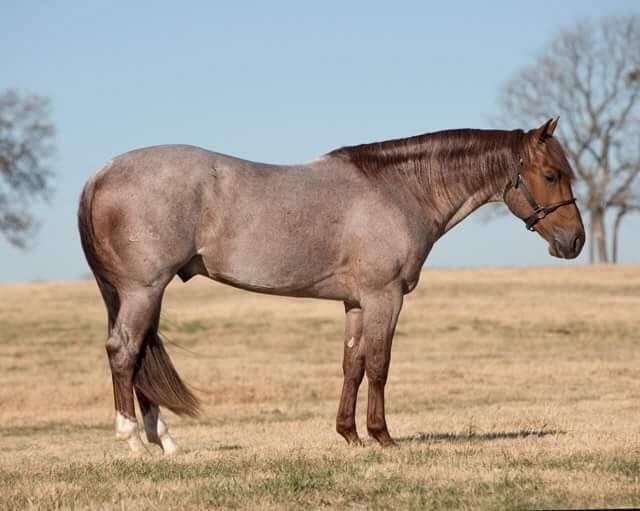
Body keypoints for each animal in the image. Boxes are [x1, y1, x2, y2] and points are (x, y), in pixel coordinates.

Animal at [78, 118, 584, 454]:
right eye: (551, 174)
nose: (575, 241)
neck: (396, 190)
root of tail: (101, 173)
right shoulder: (385, 297)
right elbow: (379, 364)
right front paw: (382, 436)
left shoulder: (356, 303)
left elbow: (352, 365)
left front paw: (350, 434)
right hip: (143, 290)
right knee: (123, 352)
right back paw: (134, 441)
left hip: (139, 294)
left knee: (139, 356)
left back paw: (163, 441)